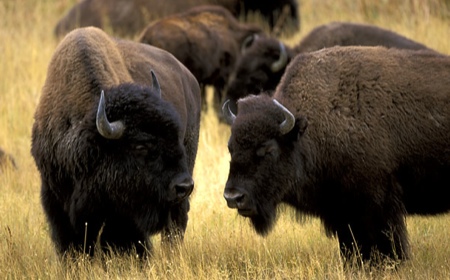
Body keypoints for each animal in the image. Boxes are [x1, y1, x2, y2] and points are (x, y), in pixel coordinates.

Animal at [31, 27, 200, 258]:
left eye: (174, 137)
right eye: (140, 146)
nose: (184, 186)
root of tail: (190, 79)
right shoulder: (55, 198)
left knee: (176, 223)